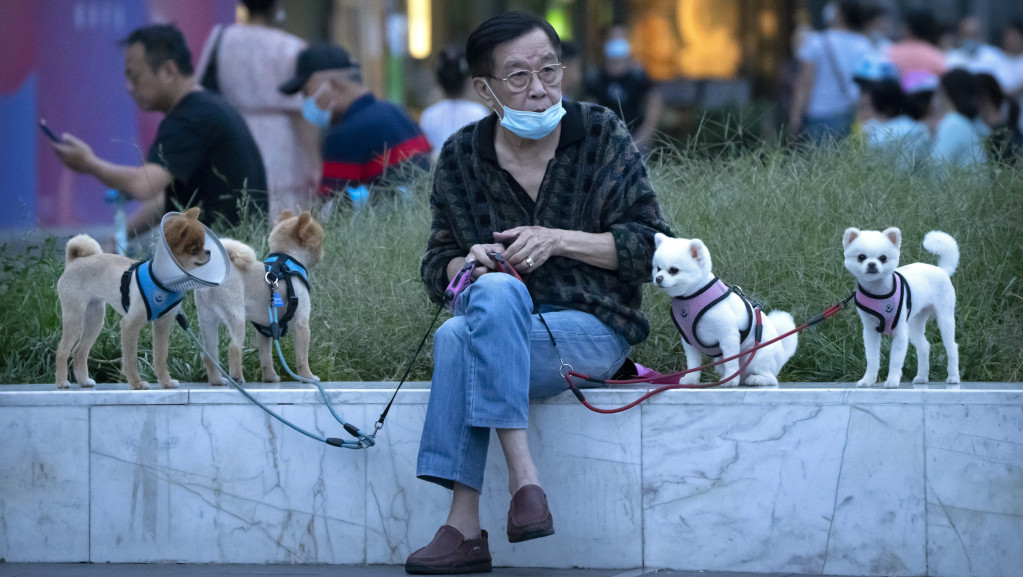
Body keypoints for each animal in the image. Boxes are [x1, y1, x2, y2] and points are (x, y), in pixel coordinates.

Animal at [54, 204, 210, 390]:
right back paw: (62, 381)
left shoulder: (162, 324)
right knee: (63, 349)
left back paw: (84, 381)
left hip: (94, 319)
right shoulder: (130, 325)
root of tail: (74, 261)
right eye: (194, 248)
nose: (209, 252)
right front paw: (136, 383)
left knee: (79, 351)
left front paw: (165, 381)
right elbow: (130, 359)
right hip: (75, 317)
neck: (161, 280)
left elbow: (160, 356)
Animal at [194, 209, 323, 384]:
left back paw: (217, 381)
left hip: (207, 321)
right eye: (320, 241)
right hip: (236, 318)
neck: (286, 263)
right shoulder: (301, 324)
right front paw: (308, 377)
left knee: (210, 354)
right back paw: (237, 377)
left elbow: (266, 357)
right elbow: (302, 357)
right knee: (234, 348)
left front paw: (270, 378)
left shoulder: (265, 329)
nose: (323, 252)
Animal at [654, 231, 797, 386]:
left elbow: (731, 361)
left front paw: (730, 380)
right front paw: (691, 379)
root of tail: (782, 355)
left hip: (756, 356)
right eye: (657, 268)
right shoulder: (689, 342)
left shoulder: (728, 335)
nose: (658, 278)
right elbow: (693, 363)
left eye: (674, 270)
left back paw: (756, 379)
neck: (692, 296)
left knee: (771, 378)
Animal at [838, 226, 957, 386]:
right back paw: (922, 377)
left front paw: (892, 380)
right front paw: (868, 380)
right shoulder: (870, 332)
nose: (872, 264)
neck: (878, 292)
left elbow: (895, 360)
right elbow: (872, 359)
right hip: (915, 324)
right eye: (861, 257)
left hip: (945, 319)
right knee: (924, 347)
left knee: (952, 347)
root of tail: (942, 270)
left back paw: (954, 377)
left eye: (883, 258)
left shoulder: (900, 332)